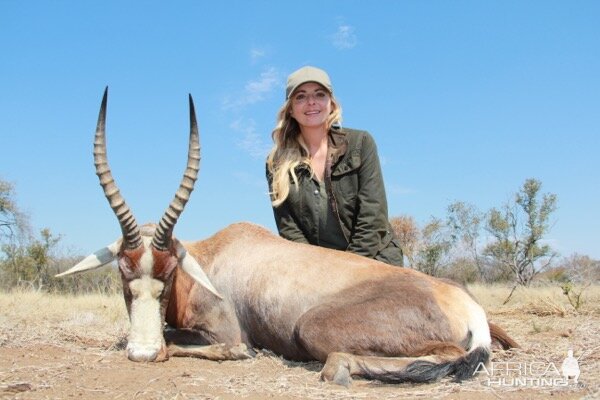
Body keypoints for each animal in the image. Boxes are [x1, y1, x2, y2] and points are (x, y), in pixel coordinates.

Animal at [57, 89, 516, 386]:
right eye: (122, 271)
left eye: (169, 273)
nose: (143, 352)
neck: (214, 254)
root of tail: (458, 299)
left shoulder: (228, 335)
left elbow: (209, 345)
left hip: (313, 328)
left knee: (447, 356)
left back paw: (339, 368)